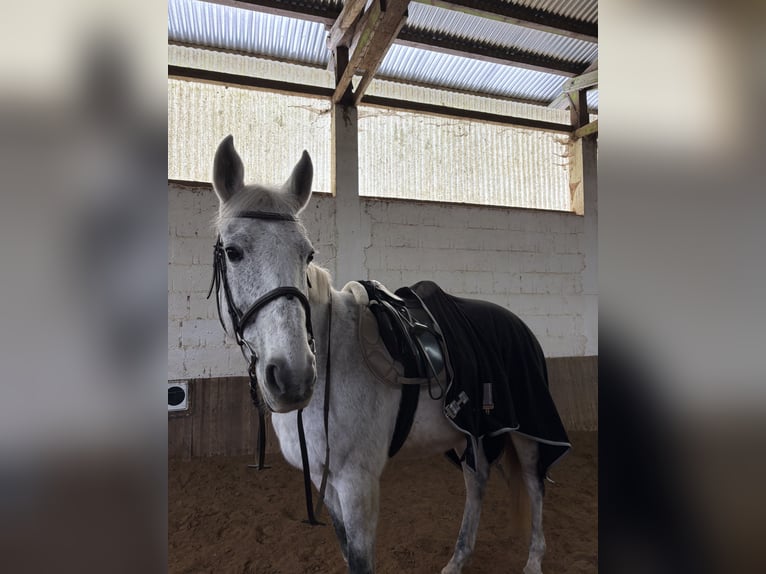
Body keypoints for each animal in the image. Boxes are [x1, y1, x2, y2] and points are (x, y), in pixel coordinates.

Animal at [209, 134, 557, 574]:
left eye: (307, 255)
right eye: (233, 251)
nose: (293, 377)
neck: (333, 359)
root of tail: (519, 325)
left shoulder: (357, 484)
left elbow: (360, 560)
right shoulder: (325, 481)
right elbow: (345, 550)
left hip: (526, 432)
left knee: (535, 485)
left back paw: (533, 560)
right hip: (472, 432)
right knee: (477, 483)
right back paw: (457, 560)